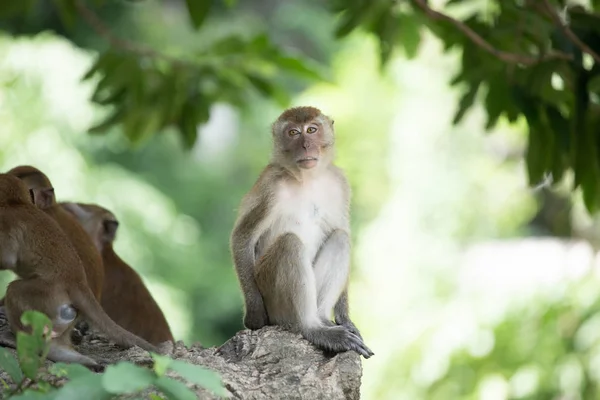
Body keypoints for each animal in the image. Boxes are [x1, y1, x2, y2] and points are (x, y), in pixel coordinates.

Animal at [229, 106, 372, 360]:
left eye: (312, 130)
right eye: (293, 133)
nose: (306, 145)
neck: (307, 179)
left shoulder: (340, 183)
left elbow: (341, 229)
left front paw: (344, 317)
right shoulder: (271, 188)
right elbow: (242, 239)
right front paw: (255, 317)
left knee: (340, 238)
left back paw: (324, 320)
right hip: (272, 296)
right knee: (290, 244)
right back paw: (312, 329)